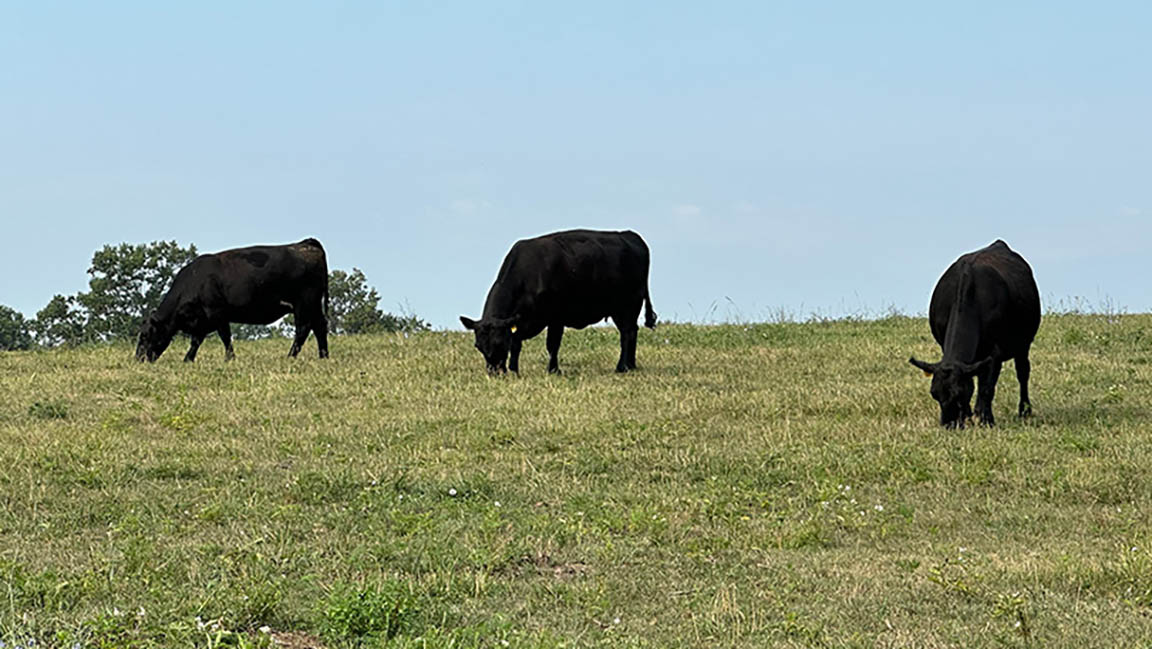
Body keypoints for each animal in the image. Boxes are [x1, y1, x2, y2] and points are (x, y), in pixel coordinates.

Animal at [138, 238, 334, 364]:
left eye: (146, 335)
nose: (138, 359)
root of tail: (306, 244)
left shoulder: (217, 313)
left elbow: (225, 337)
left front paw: (229, 359)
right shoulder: (203, 319)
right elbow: (196, 341)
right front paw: (188, 359)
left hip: (304, 303)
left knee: (303, 329)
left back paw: (290, 357)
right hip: (313, 305)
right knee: (319, 326)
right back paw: (323, 356)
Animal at [458, 229, 658, 375]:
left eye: (499, 343)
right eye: (478, 346)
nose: (494, 372)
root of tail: (629, 235)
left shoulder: (556, 317)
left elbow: (552, 344)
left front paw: (553, 370)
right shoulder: (519, 321)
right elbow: (516, 345)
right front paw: (515, 370)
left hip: (628, 304)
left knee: (627, 333)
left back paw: (621, 367)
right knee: (632, 331)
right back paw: (631, 365)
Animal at [907, 240, 1046, 428]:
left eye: (958, 393)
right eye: (934, 393)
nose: (949, 425)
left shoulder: (994, 353)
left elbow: (987, 388)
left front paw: (986, 419)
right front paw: (970, 415)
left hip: (1023, 343)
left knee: (1022, 372)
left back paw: (1024, 411)